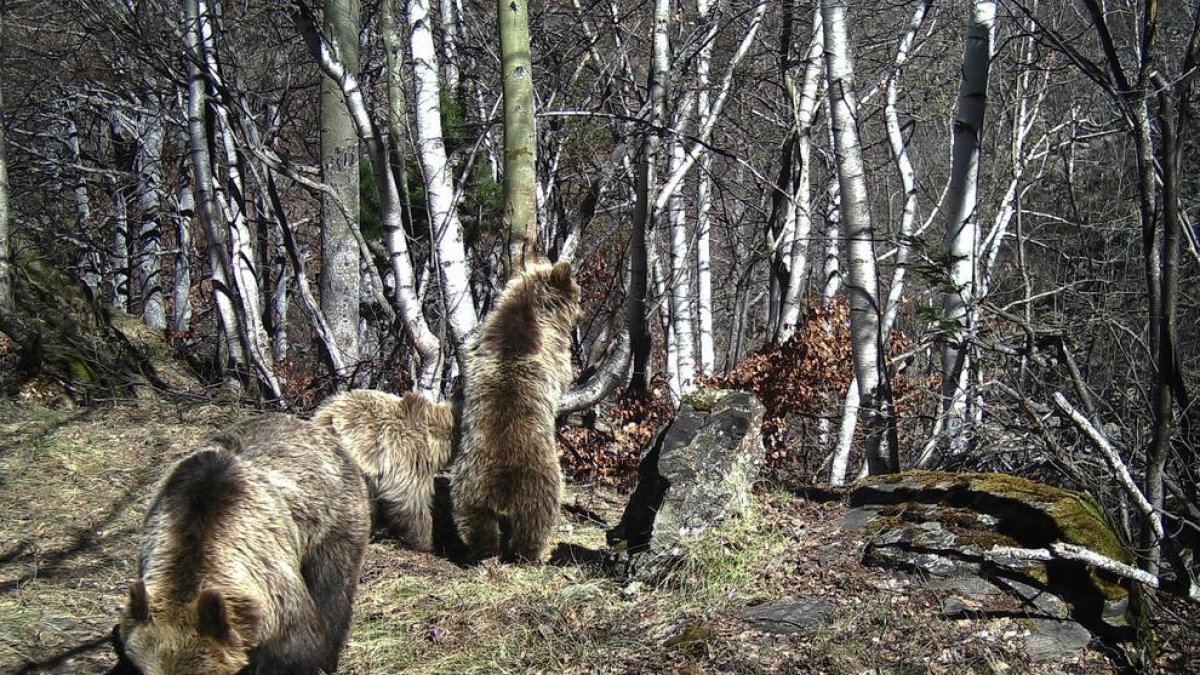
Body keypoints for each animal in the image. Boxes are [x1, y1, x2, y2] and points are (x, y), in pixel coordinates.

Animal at [451, 260, 580, 559]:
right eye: (578, 292)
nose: (581, 312)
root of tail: (503, 489)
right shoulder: (550, 345)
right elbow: (562, 369)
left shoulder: (485, 339)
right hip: (541, 481)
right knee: (536, 520)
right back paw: (530, 553)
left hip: (469, 482)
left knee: (475, 518)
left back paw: (482, 549)